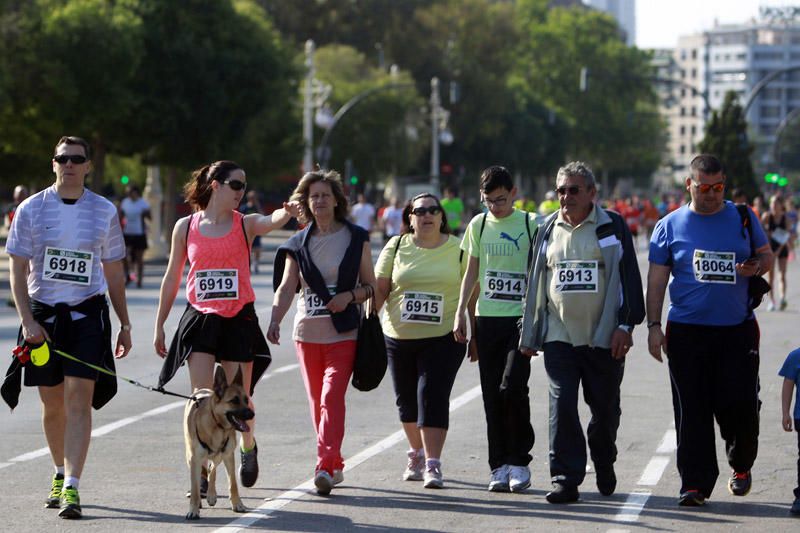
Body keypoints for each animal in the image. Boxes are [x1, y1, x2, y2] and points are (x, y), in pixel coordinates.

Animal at [184, 364, 253, 516]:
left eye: (246, 400)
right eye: (234, 400)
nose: (252, 414)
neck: (217, 425)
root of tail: (202, 390)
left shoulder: (228, 456)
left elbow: (233, 483)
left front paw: (237, 504)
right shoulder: (195, 459)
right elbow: (195, 487)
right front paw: (193, 509)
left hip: (220, 455)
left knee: (212, 468)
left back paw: (211, 495)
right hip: (191, 457)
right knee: (204, 472)